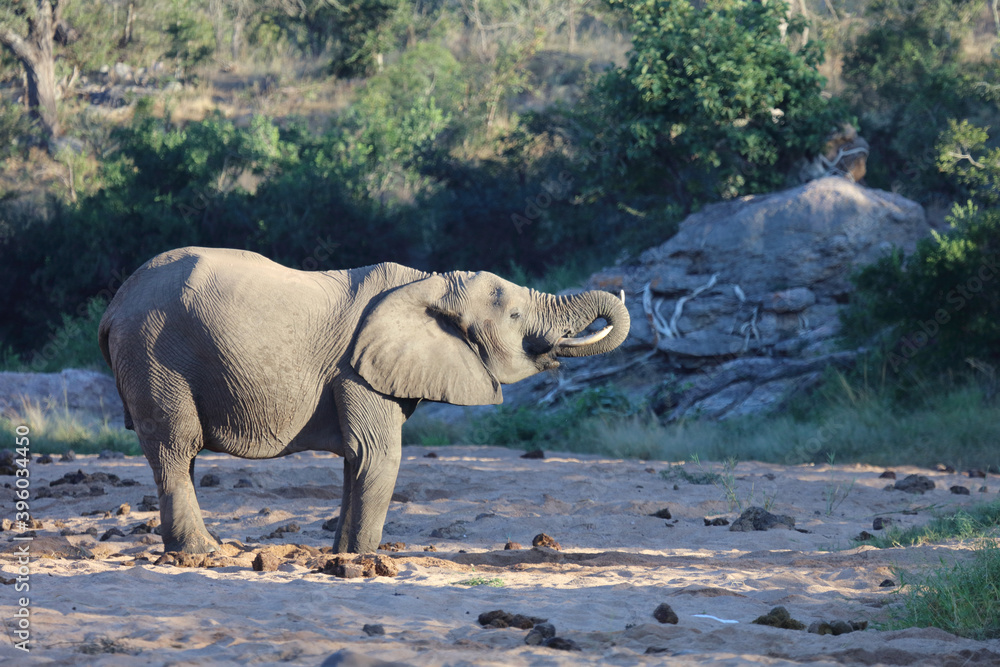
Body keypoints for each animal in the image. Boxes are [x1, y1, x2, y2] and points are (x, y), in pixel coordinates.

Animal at [98, 247, 630, 554]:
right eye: (516, 316)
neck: (431, 281)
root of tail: (114, 306)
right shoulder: (356, 369)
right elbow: (378, 454)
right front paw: (362, 559)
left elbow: (358, 460)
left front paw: (339, 557)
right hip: (155, 353)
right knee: (176, 447)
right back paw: (202, 553)